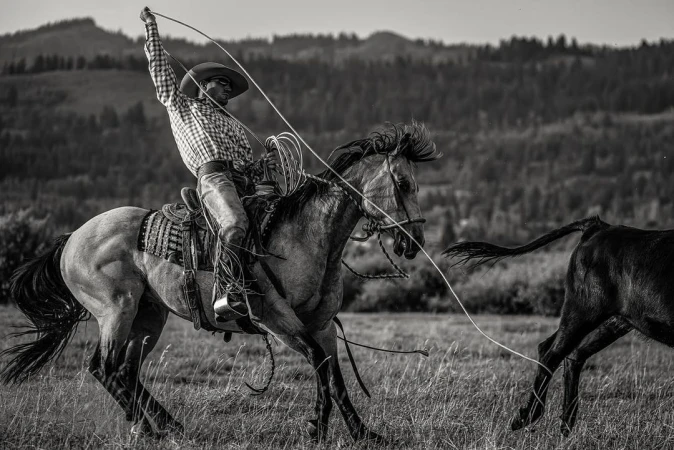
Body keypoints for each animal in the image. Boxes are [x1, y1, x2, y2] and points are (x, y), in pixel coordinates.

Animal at [1, 122, 440, 443]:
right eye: (403, 184)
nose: (414, 241)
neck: (305, 236)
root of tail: (71, 238)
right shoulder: (276, 320)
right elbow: (318, 363)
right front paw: (317, 428)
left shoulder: (322, 324)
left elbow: (335, 376)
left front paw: (366, 434)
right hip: (116, 309)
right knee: (103, 367)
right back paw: (152, 431)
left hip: (149, 316)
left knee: (125, 370)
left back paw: (165, 424)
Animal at [443, 216, 674, 435]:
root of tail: (599, 227)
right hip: (583, 310)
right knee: (552, 352)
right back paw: (527, 417)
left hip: (613, 320)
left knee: (570, 353)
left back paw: (565, 422)